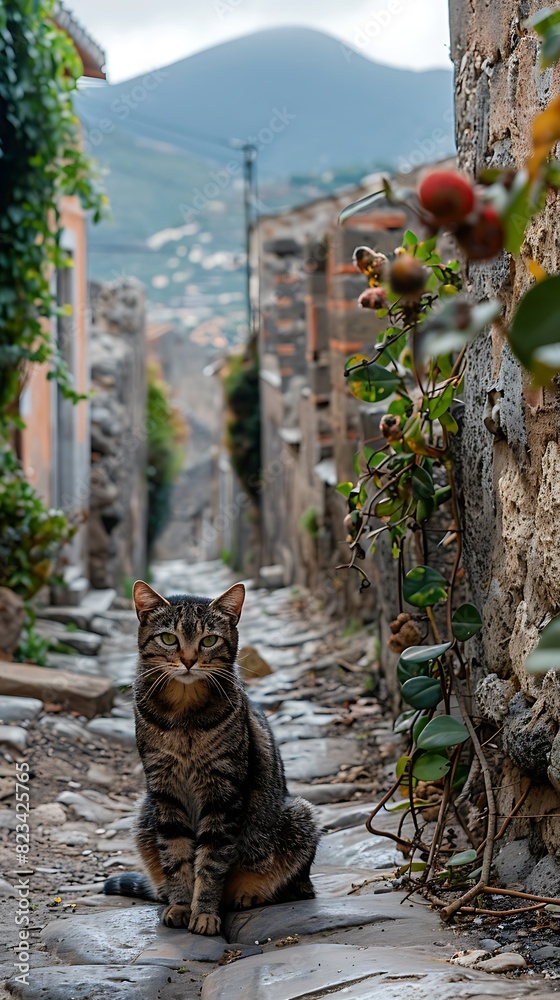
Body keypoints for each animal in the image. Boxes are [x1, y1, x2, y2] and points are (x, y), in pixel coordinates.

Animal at [105, 580, 320, 936]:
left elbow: (210, 862)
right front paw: (181, 905)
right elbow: (176, 855)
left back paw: (248, 894)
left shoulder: (223, 792)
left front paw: (204, 912)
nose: (189, 660)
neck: (184, 715)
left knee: (297, 884)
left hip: (299, 814)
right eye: (169, 639)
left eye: (209, 640)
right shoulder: (165, 789)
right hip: (144, 812)